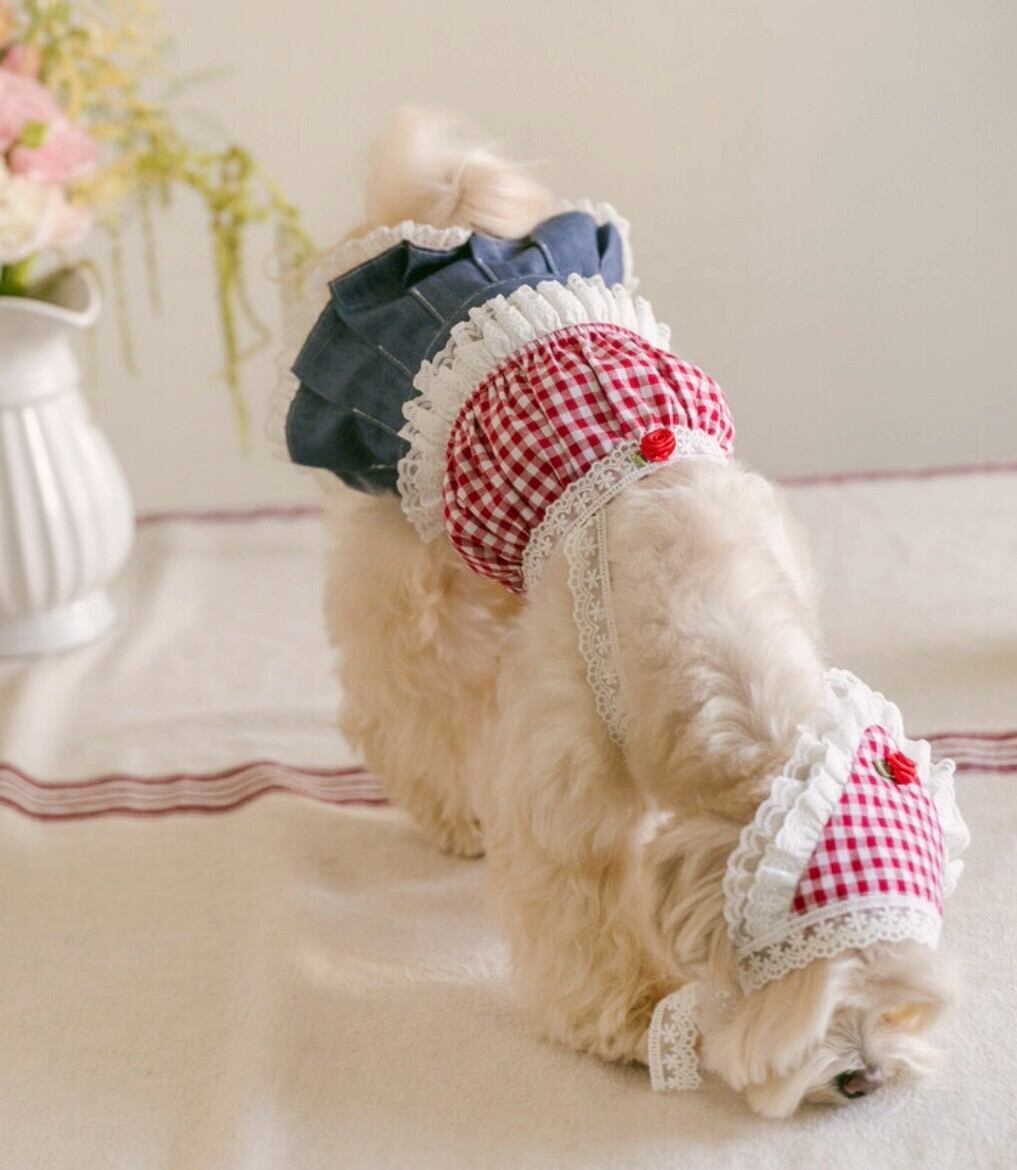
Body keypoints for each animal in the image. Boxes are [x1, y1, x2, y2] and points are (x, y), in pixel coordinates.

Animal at [284, 109, 967, 1118]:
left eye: (904, 999)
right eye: (811, 994)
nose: (863, 1077)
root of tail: (441, 218)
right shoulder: (564, 783)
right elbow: (576, 906)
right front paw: (626, 1014)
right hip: (405, 547)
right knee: (398, 697)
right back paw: (450, 810)